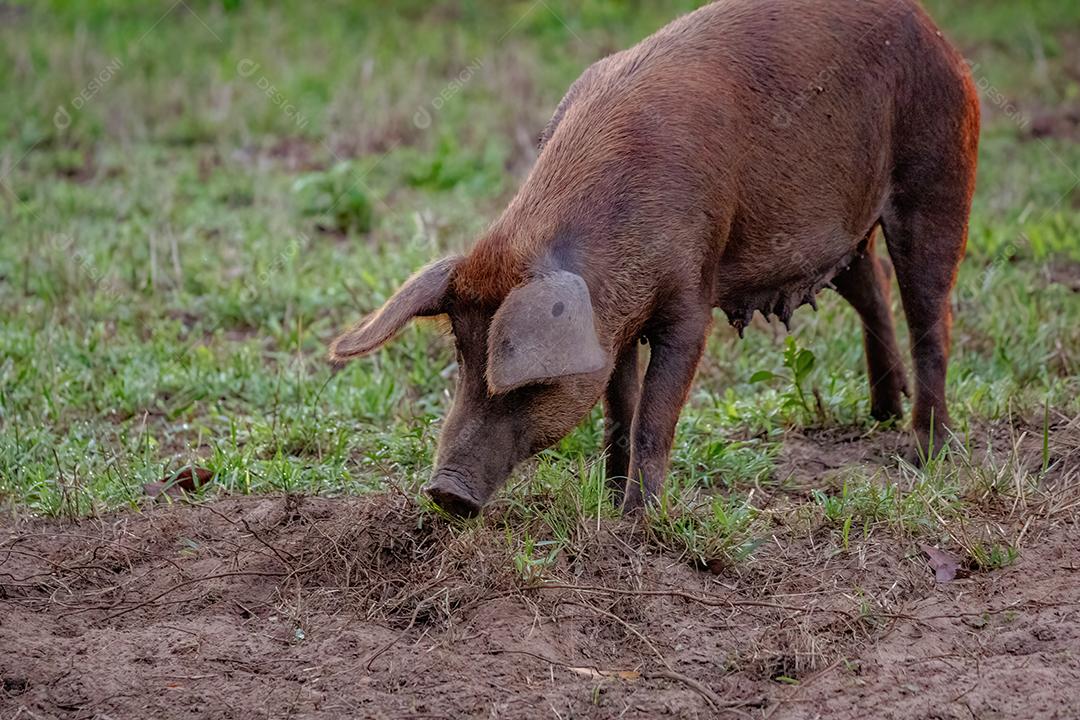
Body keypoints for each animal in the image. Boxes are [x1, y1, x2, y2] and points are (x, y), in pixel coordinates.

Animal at [328, 0, 980, 518]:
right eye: (462, 359)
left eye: (527, 381)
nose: (445, 491)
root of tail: (935, 32)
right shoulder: (612, 326)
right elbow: (619, 404)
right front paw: (609, 495)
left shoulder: (691, 297)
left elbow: (656, 412)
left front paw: (637, 519)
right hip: (844, 232)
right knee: (872, 286)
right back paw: (881, 414)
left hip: (939, 171)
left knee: (931, 313)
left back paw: (926, 453)